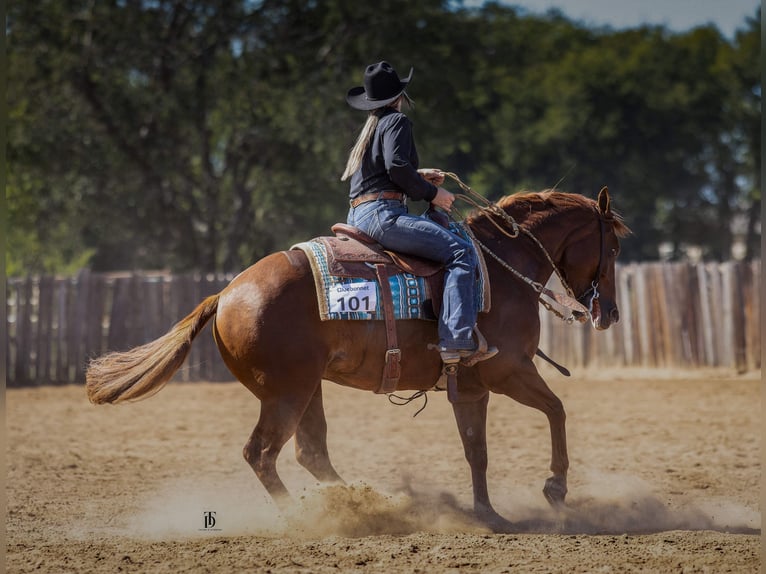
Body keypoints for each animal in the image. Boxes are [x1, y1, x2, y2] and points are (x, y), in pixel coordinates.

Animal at [86, 186, 630, 530]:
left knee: (310, 453)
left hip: (307, 390)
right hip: (286, 394)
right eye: (613, 248)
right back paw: (312, 518)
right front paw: (555, 487)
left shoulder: (471, 388)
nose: (610, 313)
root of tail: (226, 295)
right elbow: (557, 410)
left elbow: (477, 450)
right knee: (261, 454)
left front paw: (489, 514)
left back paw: (365, 503)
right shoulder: (510, 370)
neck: (501, 268)